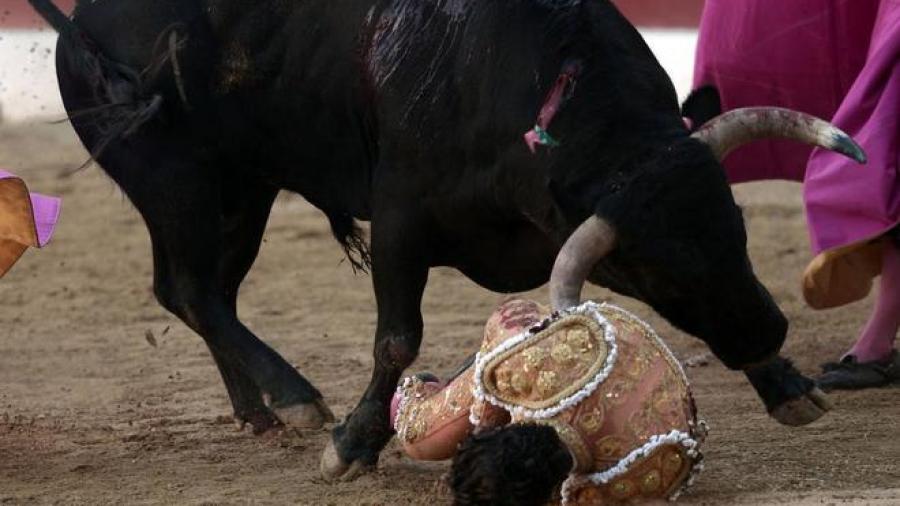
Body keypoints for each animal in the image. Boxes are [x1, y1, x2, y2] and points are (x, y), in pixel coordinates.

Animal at [26, 0, 856, 478]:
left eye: (735, 230)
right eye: (660, 271)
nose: (770, 331)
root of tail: (85, 18)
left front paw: (787, 386)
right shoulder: (400, 220)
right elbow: (396, 338)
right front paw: (351, 447)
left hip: (242, 190)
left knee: (208, 291)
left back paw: (258, 409)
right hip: (177, 182)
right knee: (191, 290)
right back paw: (295, 400)